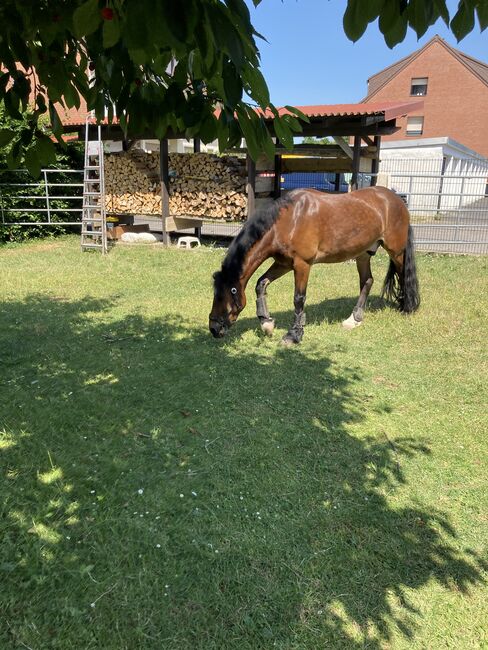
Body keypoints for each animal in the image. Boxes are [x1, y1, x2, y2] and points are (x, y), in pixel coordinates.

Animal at [209, 184, 420, 342]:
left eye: (222, 296)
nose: (213, 328)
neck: (289, 220)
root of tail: (397, 200)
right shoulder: (284, 263)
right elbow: (261, 284)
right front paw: (266, 323)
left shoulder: (302, 264)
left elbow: (298, 298)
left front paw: (294, 335)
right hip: (363, 254)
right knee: (367, 281)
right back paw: (354, 319)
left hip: (396, 252)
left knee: (403, 275)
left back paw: (407, 308)